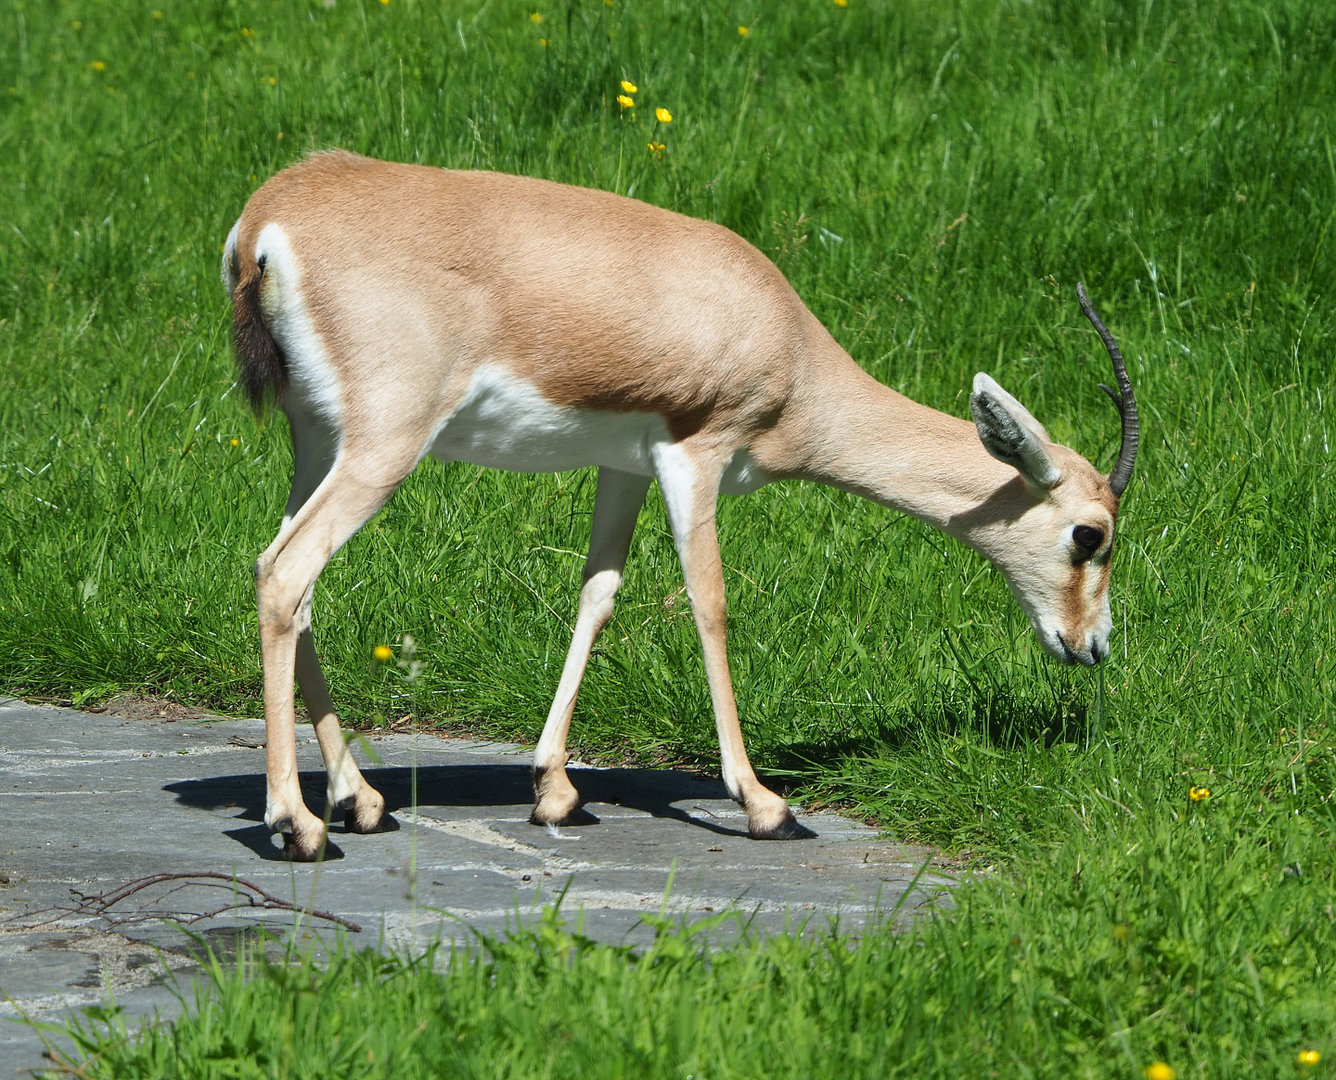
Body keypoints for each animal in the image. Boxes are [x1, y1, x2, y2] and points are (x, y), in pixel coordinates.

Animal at [222, 151, 1138, 861]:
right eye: (1089, 535)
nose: (1090, 646)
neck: (779, 335)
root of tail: (271, 216)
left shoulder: (622, 466)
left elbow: (598, 594)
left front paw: (556, 791)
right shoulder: (696, 456)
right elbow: (710, 604)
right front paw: (765, 804)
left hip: (319, 441)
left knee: (295, 585)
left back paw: (362, 802)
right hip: (385, 448)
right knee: (284, 572)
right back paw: (300, 827)